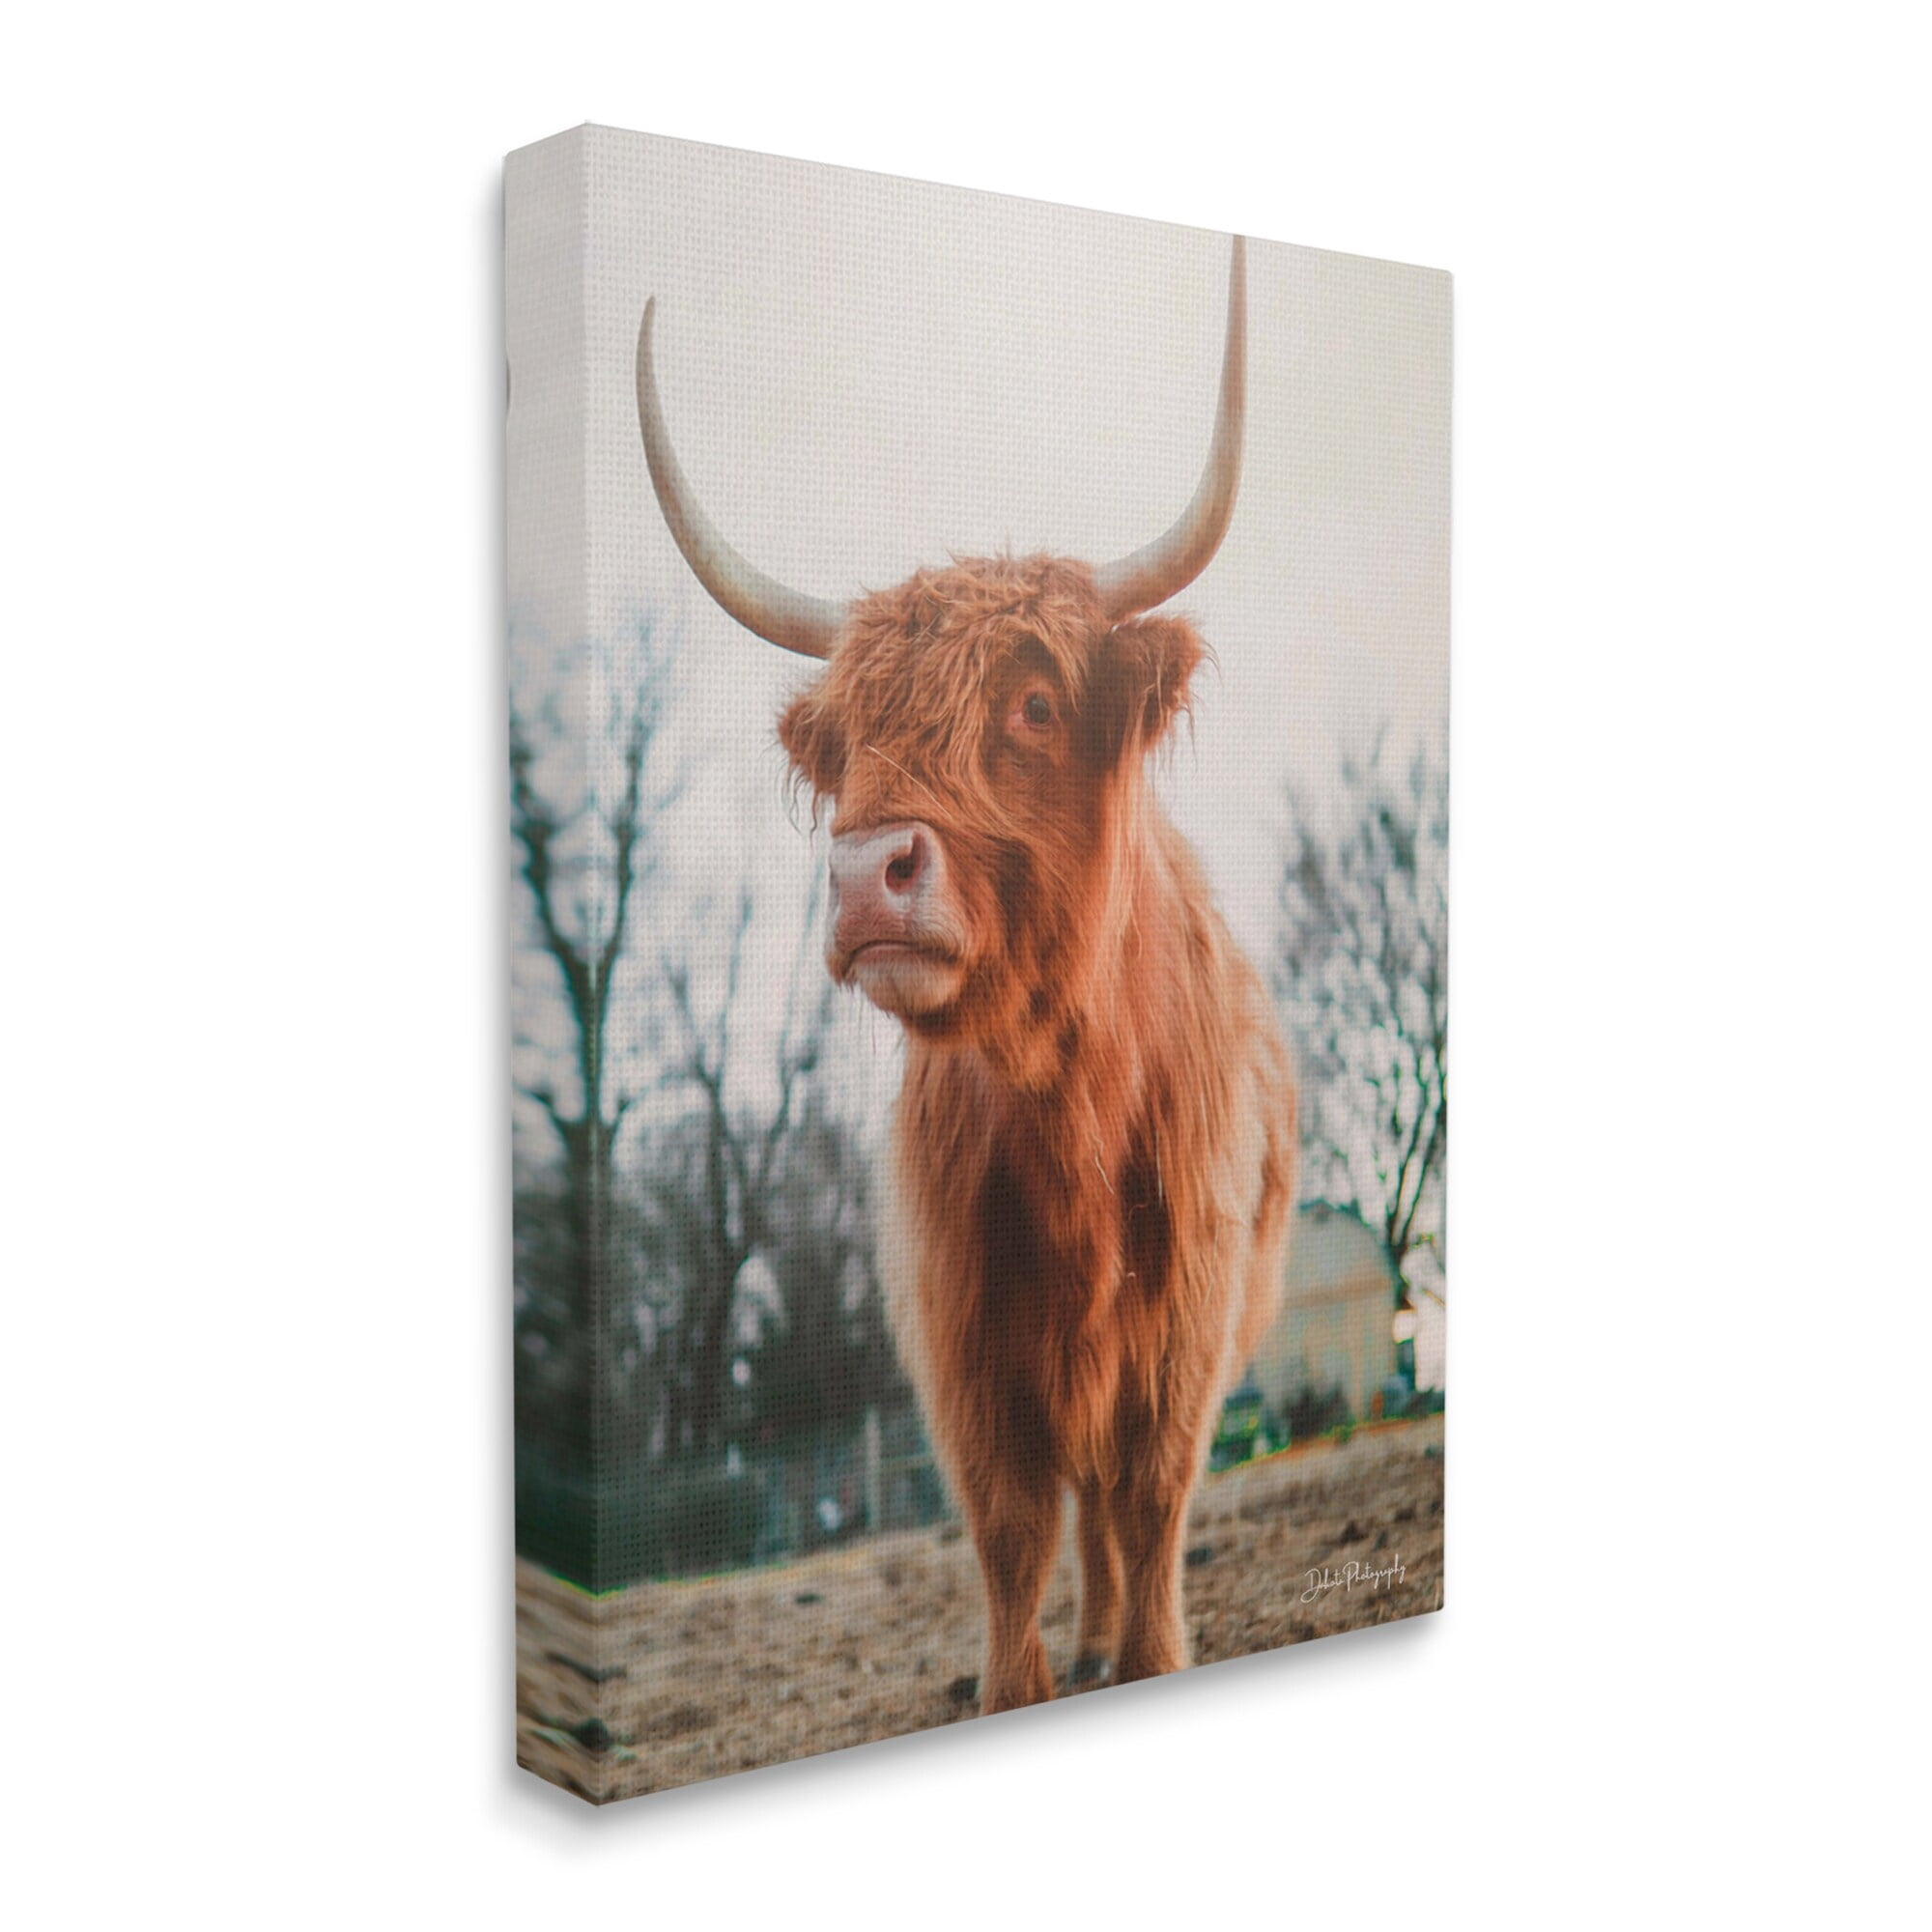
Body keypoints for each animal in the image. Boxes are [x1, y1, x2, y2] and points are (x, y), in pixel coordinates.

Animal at [636, 237, 1295, 1712]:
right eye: (849, 737)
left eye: (1035, 703)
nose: (864, 871)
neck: (1069, 1112)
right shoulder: (963, 1337)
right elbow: (1008, 1530)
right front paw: (1019, 1688)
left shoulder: (1184, 1322)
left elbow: (1152, 1503)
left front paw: (1148, 1658)